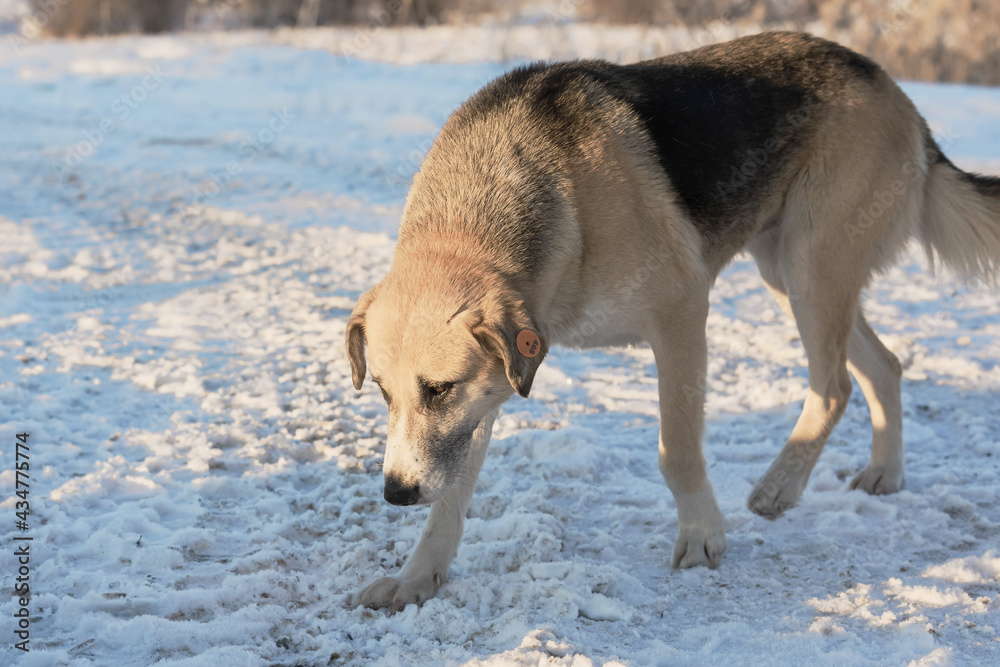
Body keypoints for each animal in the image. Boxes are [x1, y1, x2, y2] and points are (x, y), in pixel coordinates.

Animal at [346, 34, 1000, 612]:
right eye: (382, 393)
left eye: (438, 388)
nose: (395, 492)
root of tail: (892, 87)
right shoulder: (488, 393)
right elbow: (450, 498)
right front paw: (417, 578)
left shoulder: (682, 317)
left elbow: (677, 451)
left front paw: (703, 535)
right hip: (789, 272)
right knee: (883, 367)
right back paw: (885, 471)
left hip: (811, 268)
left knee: (835, 384)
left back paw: (780, 487)